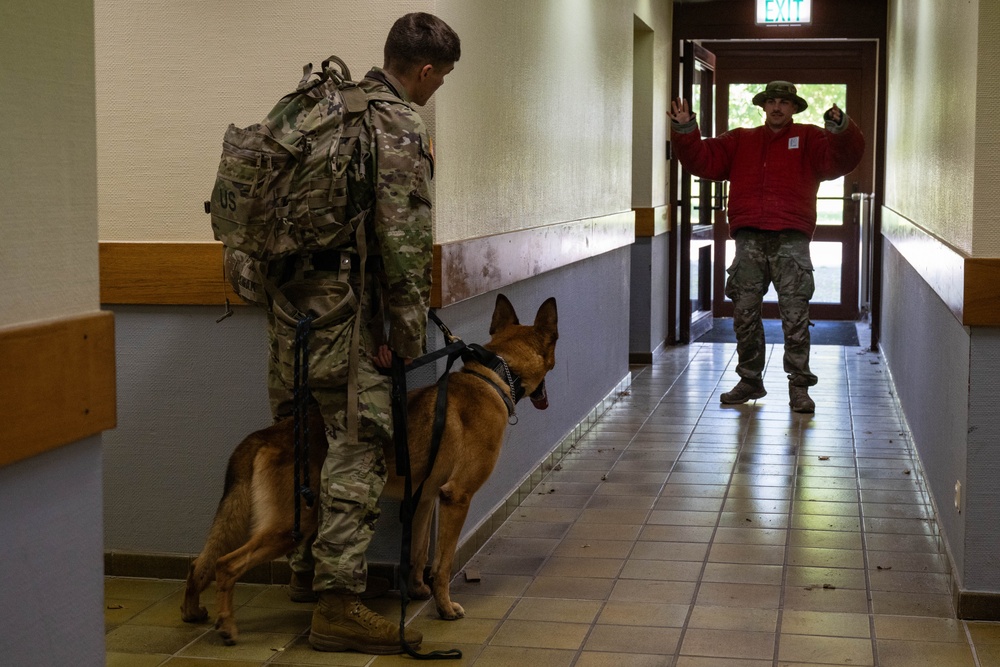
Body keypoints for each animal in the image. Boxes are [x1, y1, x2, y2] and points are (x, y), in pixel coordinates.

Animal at [180, 294, 556, 644]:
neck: (495, 374)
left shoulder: (423, 499)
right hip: (293, 524)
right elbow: (444, 562)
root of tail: (266, 435)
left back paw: (192, 610)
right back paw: (227, 625)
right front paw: (444, 607)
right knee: (225, 564)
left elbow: (418, 552)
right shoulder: (456, 497)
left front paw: (417, 591)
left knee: (199, 562)